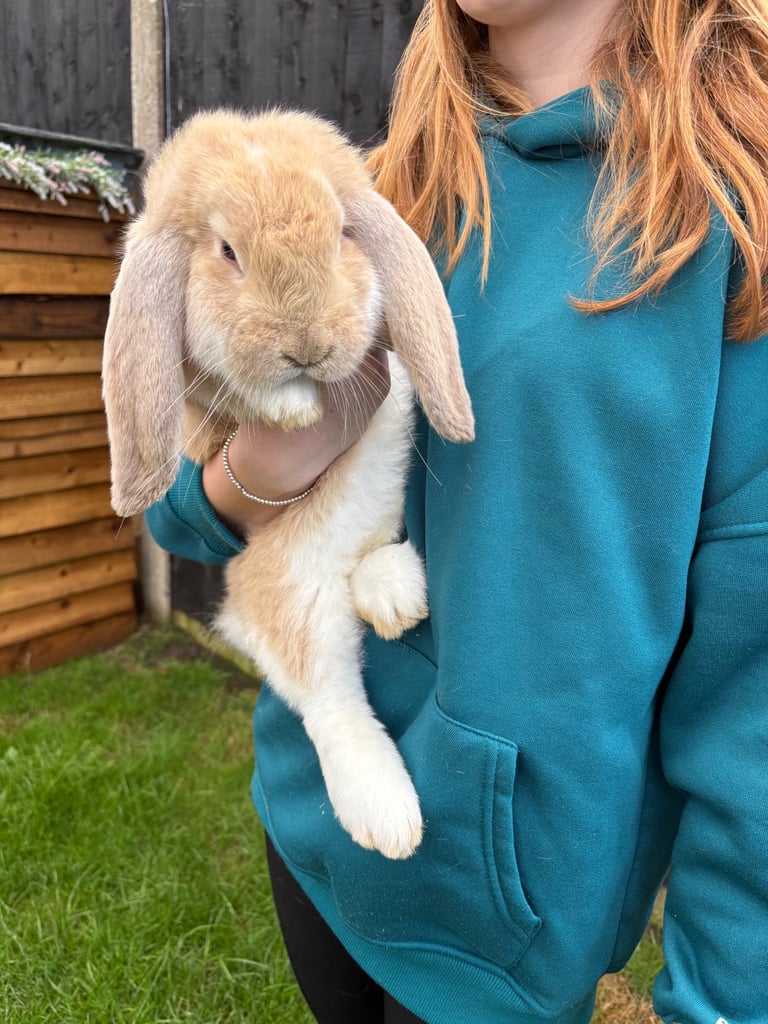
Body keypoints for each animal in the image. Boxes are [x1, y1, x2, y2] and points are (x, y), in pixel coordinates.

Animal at [102, 108, 474, 859]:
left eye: (341, 236)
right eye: (227, 252)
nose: (308, 347)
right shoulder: (204, 404)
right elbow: (243, 396)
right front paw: (294, 408)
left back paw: (394, 592)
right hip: (293, 584)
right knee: (328, 699)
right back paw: (388, 818)